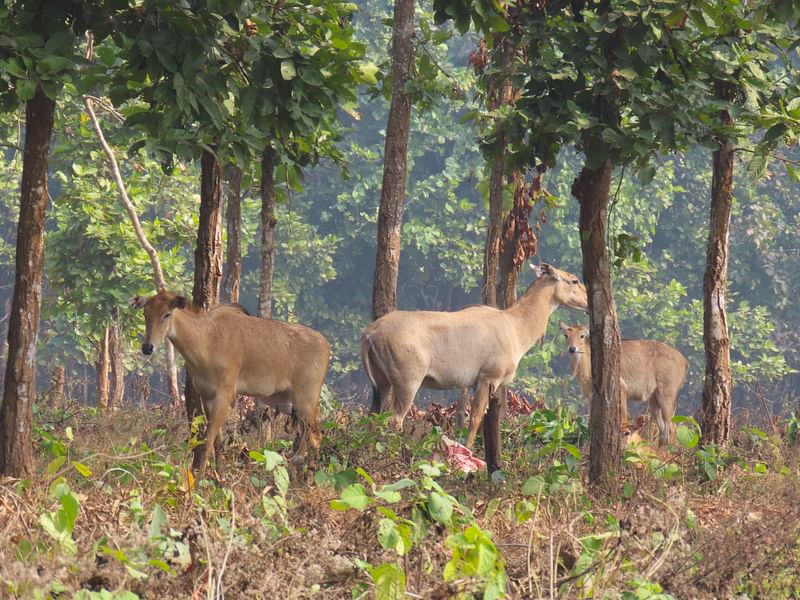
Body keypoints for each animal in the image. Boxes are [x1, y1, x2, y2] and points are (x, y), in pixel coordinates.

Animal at [130, 290, 328, 478]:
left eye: (166, 314)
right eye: (146, 314)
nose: (147, 347)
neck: (207, 341)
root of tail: (326, 345)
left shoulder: (225, 394)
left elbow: (208, 442)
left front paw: (198, 484)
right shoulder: (208, 397)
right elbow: (218, 442)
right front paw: (220, 480)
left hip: (305, 398)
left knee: (315, 438)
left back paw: (308, 480)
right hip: (290, 403)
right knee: (306, 436)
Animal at [362, 264, 588, 450]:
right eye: (574, 280)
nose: (587, 302)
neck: (515, 327)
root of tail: (370, 333)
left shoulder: (481, 383)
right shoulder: (488, 378)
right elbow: (476, 418)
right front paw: (468, 451)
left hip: (381, 383)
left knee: (372, 416)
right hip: (407, 382)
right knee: (394, 419)